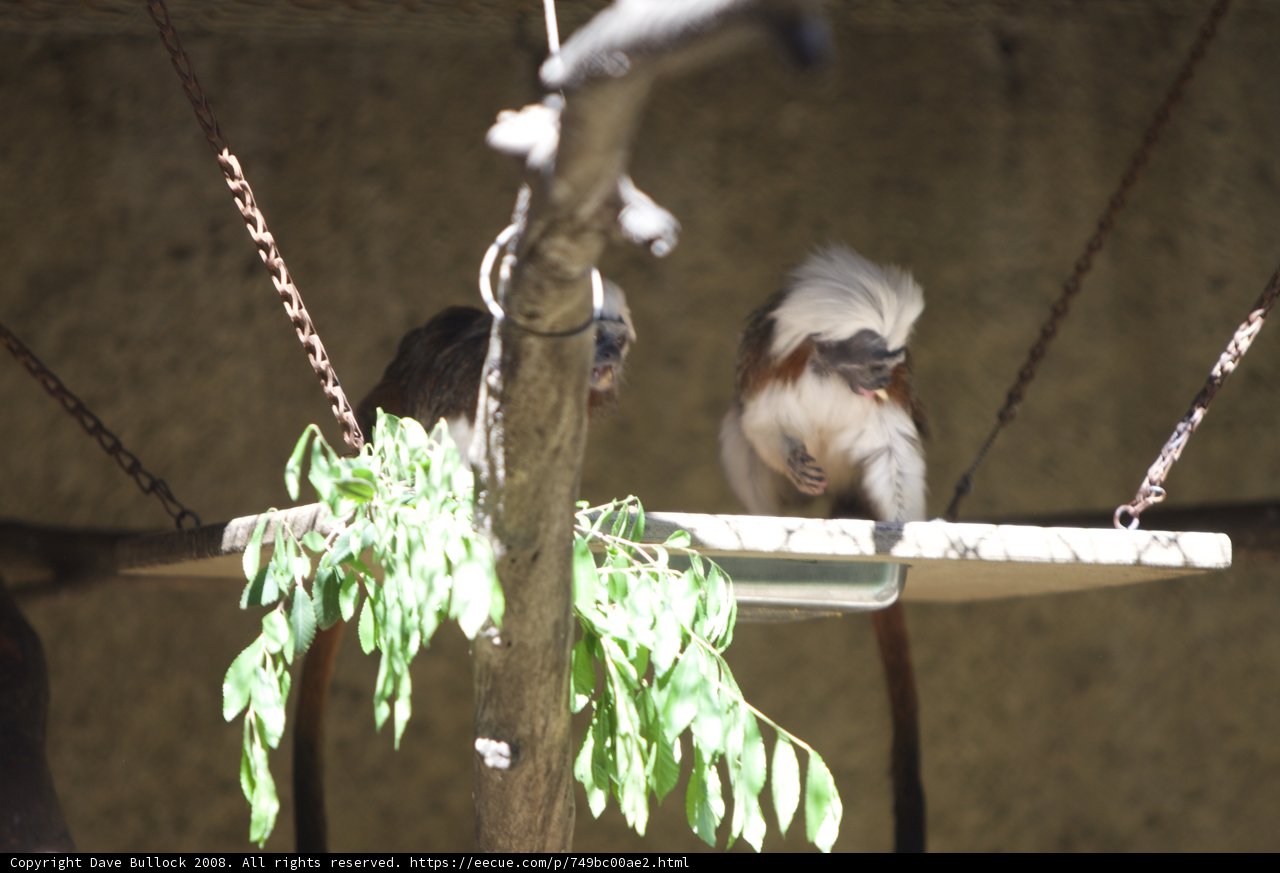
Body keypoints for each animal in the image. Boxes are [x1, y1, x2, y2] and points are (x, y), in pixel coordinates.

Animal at [719, 245, 927, 852]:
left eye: (892, 363)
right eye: (871, 359)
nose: (883, 375)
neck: (829, 376)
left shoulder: (890, 402)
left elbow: (894, 449)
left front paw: (898, 525)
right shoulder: (770, 375)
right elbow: (760, 427)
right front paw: (792, 458)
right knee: (737, 434)